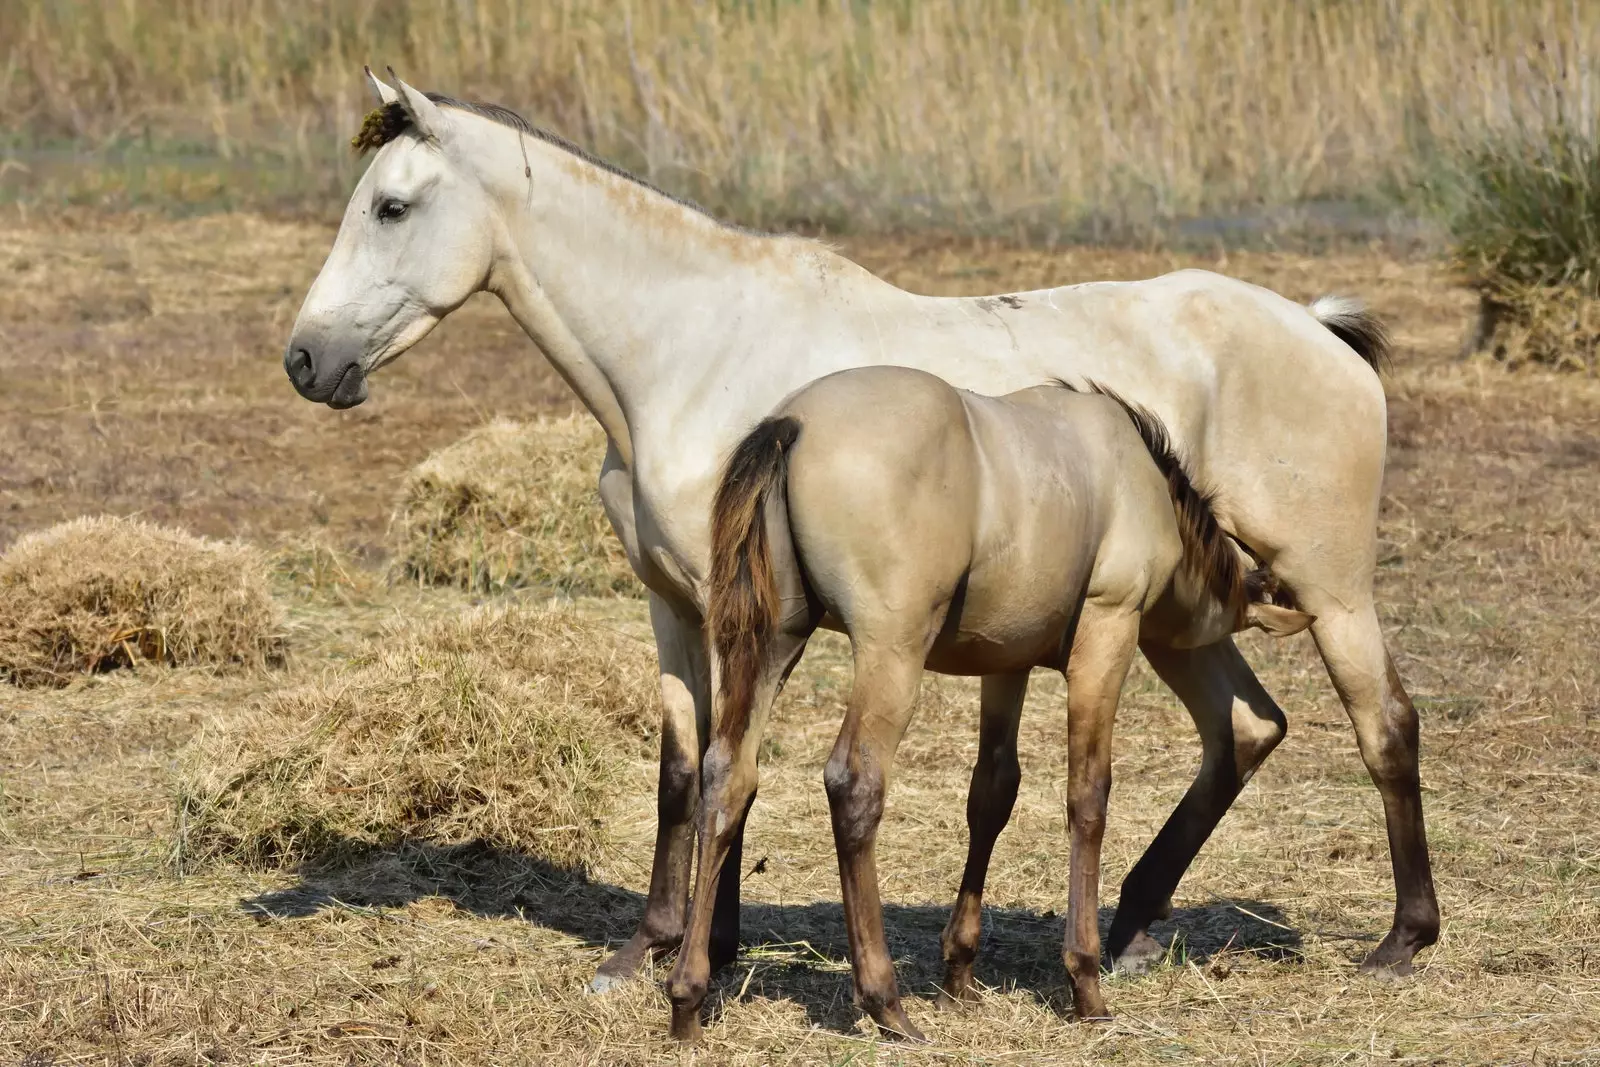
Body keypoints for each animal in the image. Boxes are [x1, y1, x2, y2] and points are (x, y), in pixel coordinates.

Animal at [665, 369, 1312, 1043]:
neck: (1136, 473)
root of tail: (793, 422)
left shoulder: (1006, 663)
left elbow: (992, 795)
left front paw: (960, 970)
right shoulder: (1107, 636)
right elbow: (1088, 797)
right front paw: (1085, 984)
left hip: (775, 643)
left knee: (729, 776)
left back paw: (687, 997)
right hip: (891, 653)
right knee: (854, 784)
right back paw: (885, 1001)